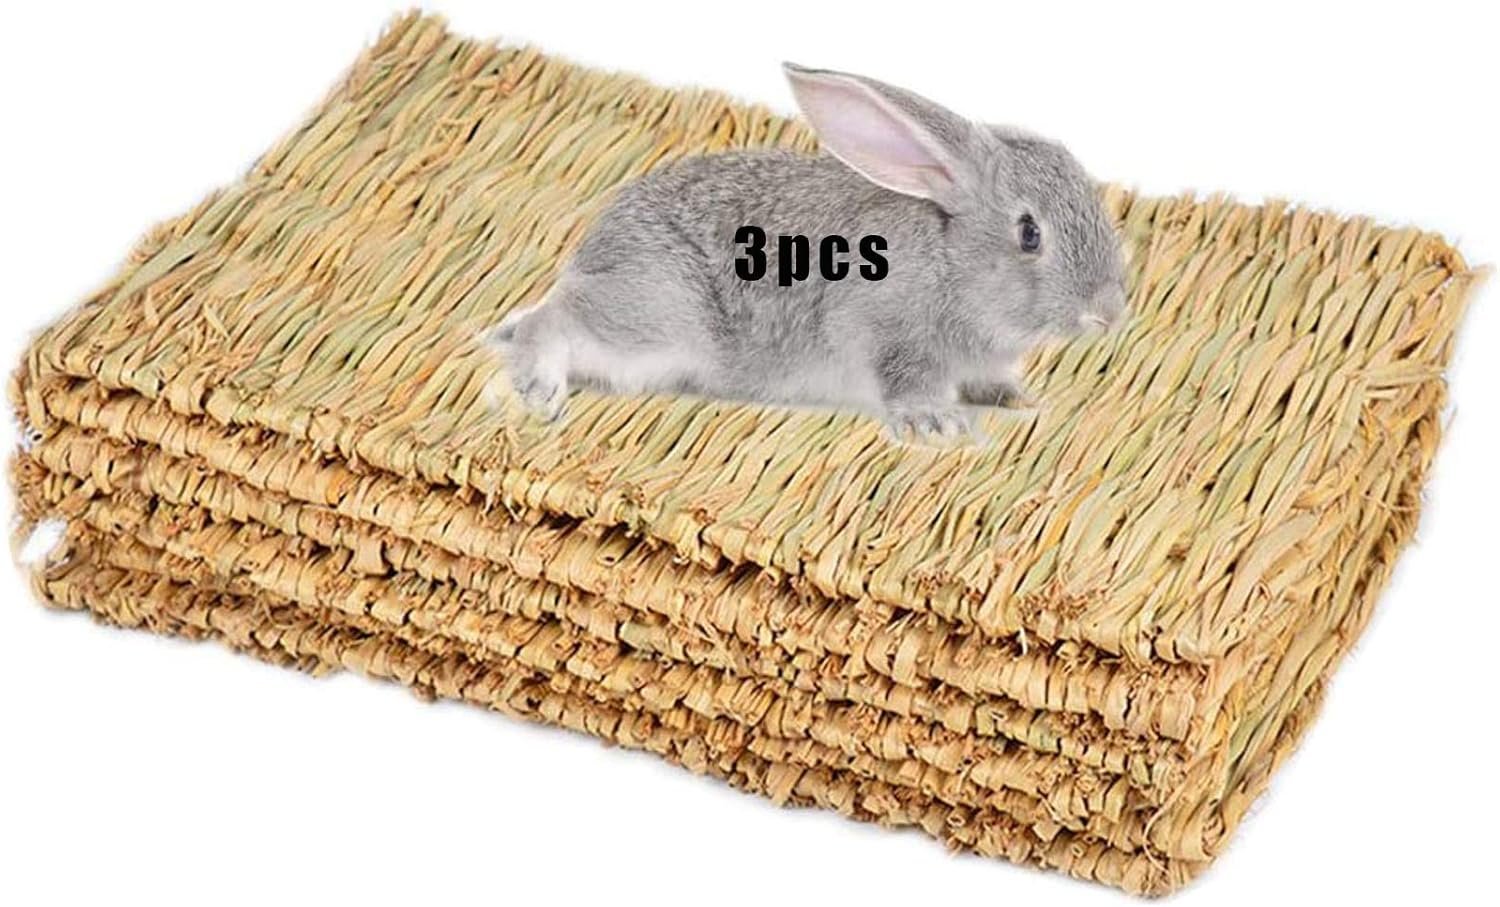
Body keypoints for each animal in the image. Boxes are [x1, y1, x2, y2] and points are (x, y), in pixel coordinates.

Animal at [488, 63, 1128, 441]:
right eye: (1029, 233)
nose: (1110, 312)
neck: (956, 263)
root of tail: (591, 253)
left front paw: (1019, 399)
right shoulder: (887, 332)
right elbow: (905, 379)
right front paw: (935, 422)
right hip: (655, 315)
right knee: (552, 321)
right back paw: (540, 387)